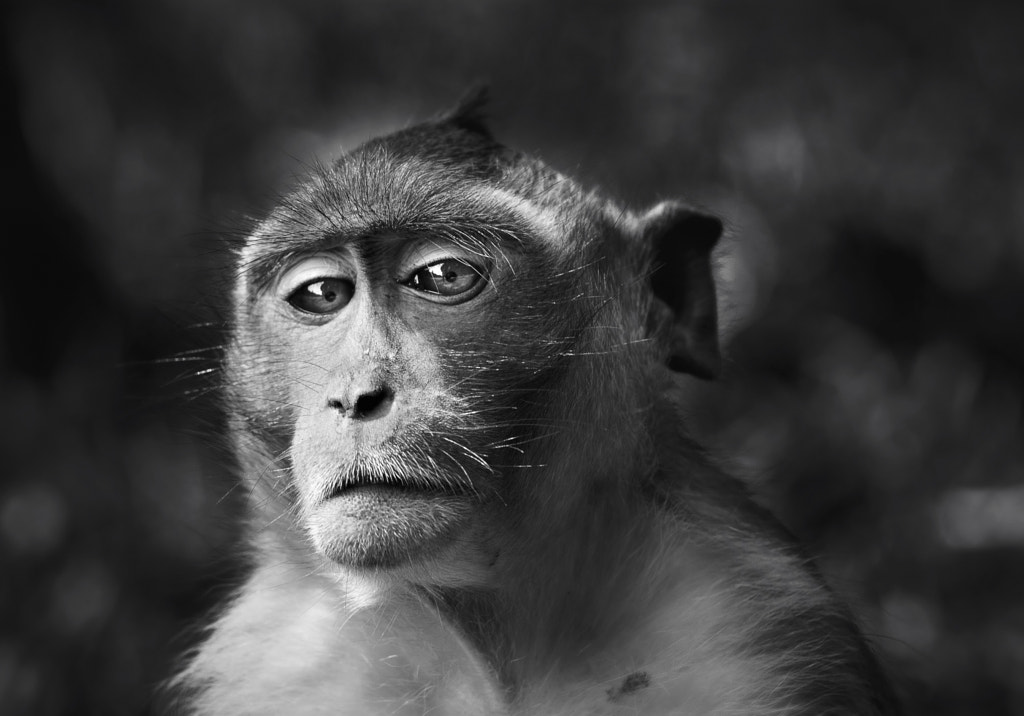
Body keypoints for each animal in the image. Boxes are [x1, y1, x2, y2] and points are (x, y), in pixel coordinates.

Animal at [172, 92, 898, 715]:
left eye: (442, 276)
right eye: (322, 294)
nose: (355, 396)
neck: (492, 644)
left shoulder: (764, 637)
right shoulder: (271, 662)